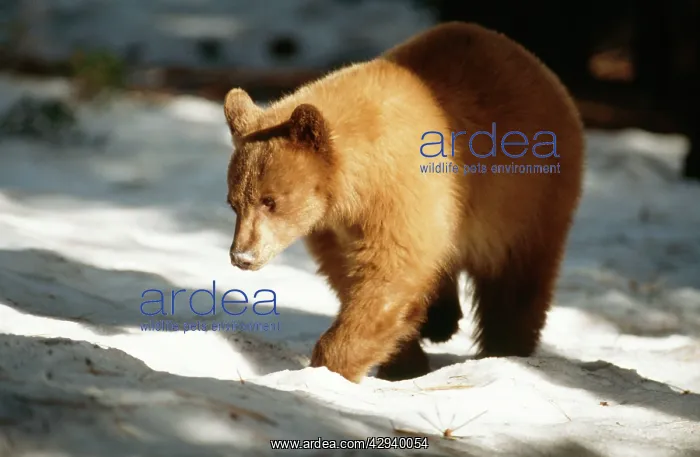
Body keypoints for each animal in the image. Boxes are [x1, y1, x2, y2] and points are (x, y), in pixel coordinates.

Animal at [223, 22, 584, 383]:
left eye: (270, 201)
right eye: (234, 202)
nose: (242, 256)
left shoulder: (402, 191)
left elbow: (390, 270)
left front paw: (331, 366)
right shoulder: (335, 225)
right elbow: (351, 273)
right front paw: (402, 361)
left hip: (529, 198)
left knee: (517, 282)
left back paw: (504, 347)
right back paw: (441, 319)